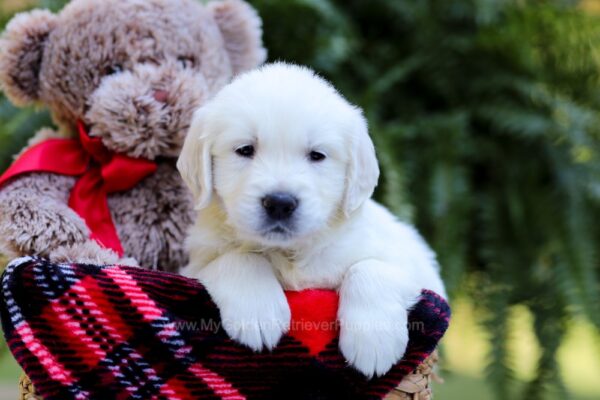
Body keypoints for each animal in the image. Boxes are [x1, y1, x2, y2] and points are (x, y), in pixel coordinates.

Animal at [178, 63, 446, 378]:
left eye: (317, 155)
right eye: (245, 150)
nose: (280, 203)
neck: (290, 252)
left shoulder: (416, 270)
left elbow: (370, 267)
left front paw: (374, 341)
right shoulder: (193, 265)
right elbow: (237, 257)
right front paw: (258, 313)